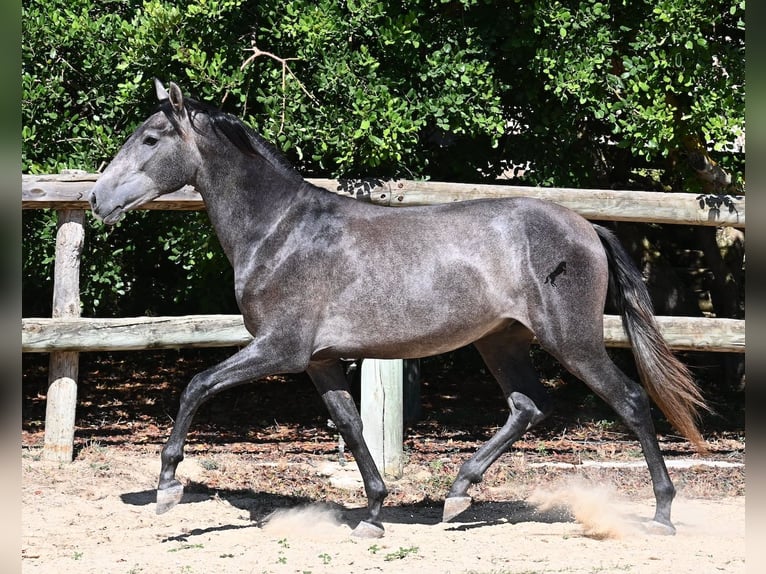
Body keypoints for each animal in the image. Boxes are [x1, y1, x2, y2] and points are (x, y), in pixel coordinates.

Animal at [89, 80, 707, 538]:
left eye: (151, 138)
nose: (96, 199)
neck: (281, 231)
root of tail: (586, 226)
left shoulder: (279, 348)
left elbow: (196, 385)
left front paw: (167, 489)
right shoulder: (318, 359)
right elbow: (351, 423)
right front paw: (374, 514)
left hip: (570, 340)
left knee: (630, 400)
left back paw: (662, 513)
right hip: (500, 339)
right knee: (529, 405)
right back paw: (457, 496)